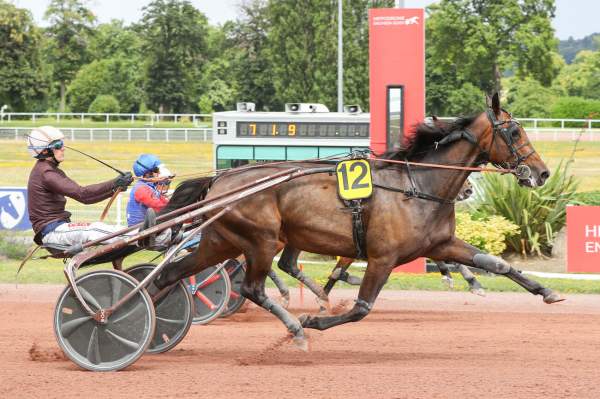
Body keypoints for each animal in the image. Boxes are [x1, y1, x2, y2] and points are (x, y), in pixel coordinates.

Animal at [157, 94, 560, 350]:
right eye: (514, 132)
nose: (542, 173)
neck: (418, 185)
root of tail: (220, 180)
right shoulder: (382, 257)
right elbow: (361, 308)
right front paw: (314, 320)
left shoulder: (441, 243)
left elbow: (496, 263)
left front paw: (546, 291)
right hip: (261, 240)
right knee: (252, 288)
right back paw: (295, 327)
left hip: (220, 241)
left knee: (170, 275)